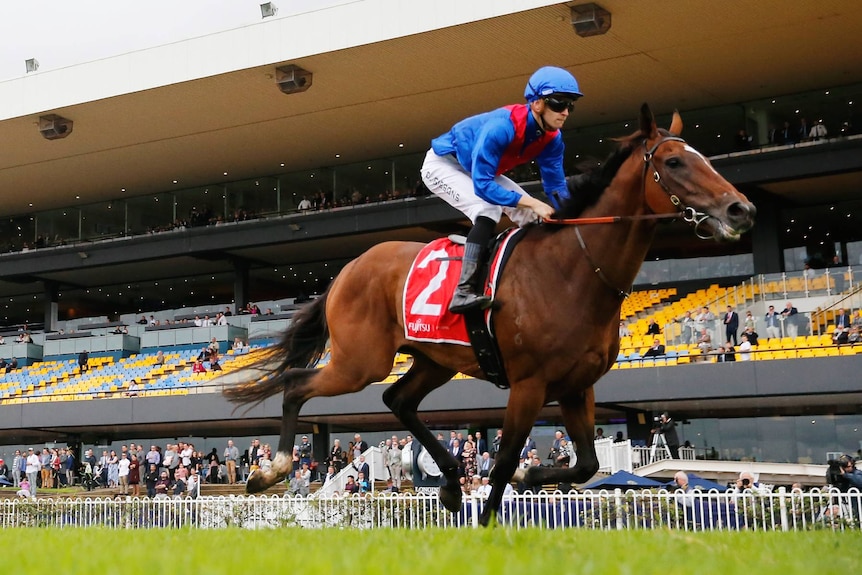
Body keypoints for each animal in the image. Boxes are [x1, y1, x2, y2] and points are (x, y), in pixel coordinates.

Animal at [223, 103, 756, 526]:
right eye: (674, 161)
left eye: (704, 157)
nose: (742, 209)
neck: (574, 270)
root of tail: (345, 271)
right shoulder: (529, 384)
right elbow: (501, 462)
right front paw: (491, 521)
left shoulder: (577, 386)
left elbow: (584, 464)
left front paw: (528, 473)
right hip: (361, 362)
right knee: (297, 383)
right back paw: (271, 470)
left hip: (434, 359)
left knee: (397, 399)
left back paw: (450, 483)